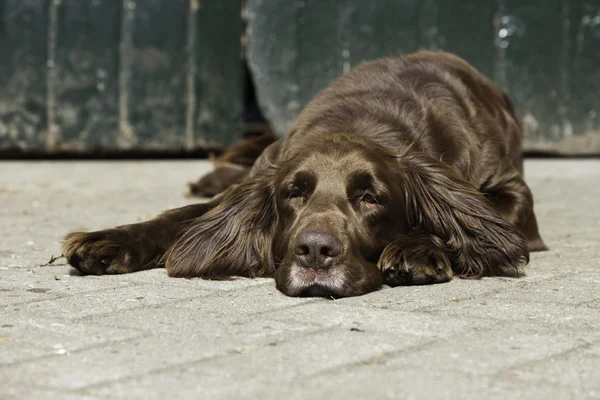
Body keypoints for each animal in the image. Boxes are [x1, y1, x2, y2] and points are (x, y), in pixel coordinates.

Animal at [63, 51, 548, 296]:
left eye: (371, 197)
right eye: (293, 194)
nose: (315, 250)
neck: (364, 119)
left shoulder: (514, 197)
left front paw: (415, 249)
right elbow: (178, 218)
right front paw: (107, 240)